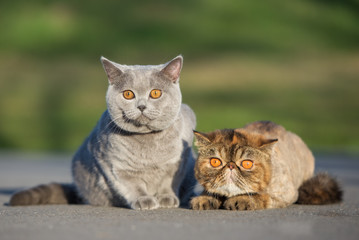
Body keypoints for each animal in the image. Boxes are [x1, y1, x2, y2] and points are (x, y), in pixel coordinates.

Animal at [10, 55, 197, 209]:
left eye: (156, 93)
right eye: (128, 94)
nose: (141, 106)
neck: (147, 142)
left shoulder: (179, 161)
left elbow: (168, 181)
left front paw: (167, 198)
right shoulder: (115, 165)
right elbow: (133, 185)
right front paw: (143, 200)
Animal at [191, 122, 344, 210]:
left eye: (247, 163)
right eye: (215, 162)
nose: (231, 166)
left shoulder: (287, 193)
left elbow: (262, 196)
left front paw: (241, 200)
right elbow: (211, 190)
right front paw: (205, 198)